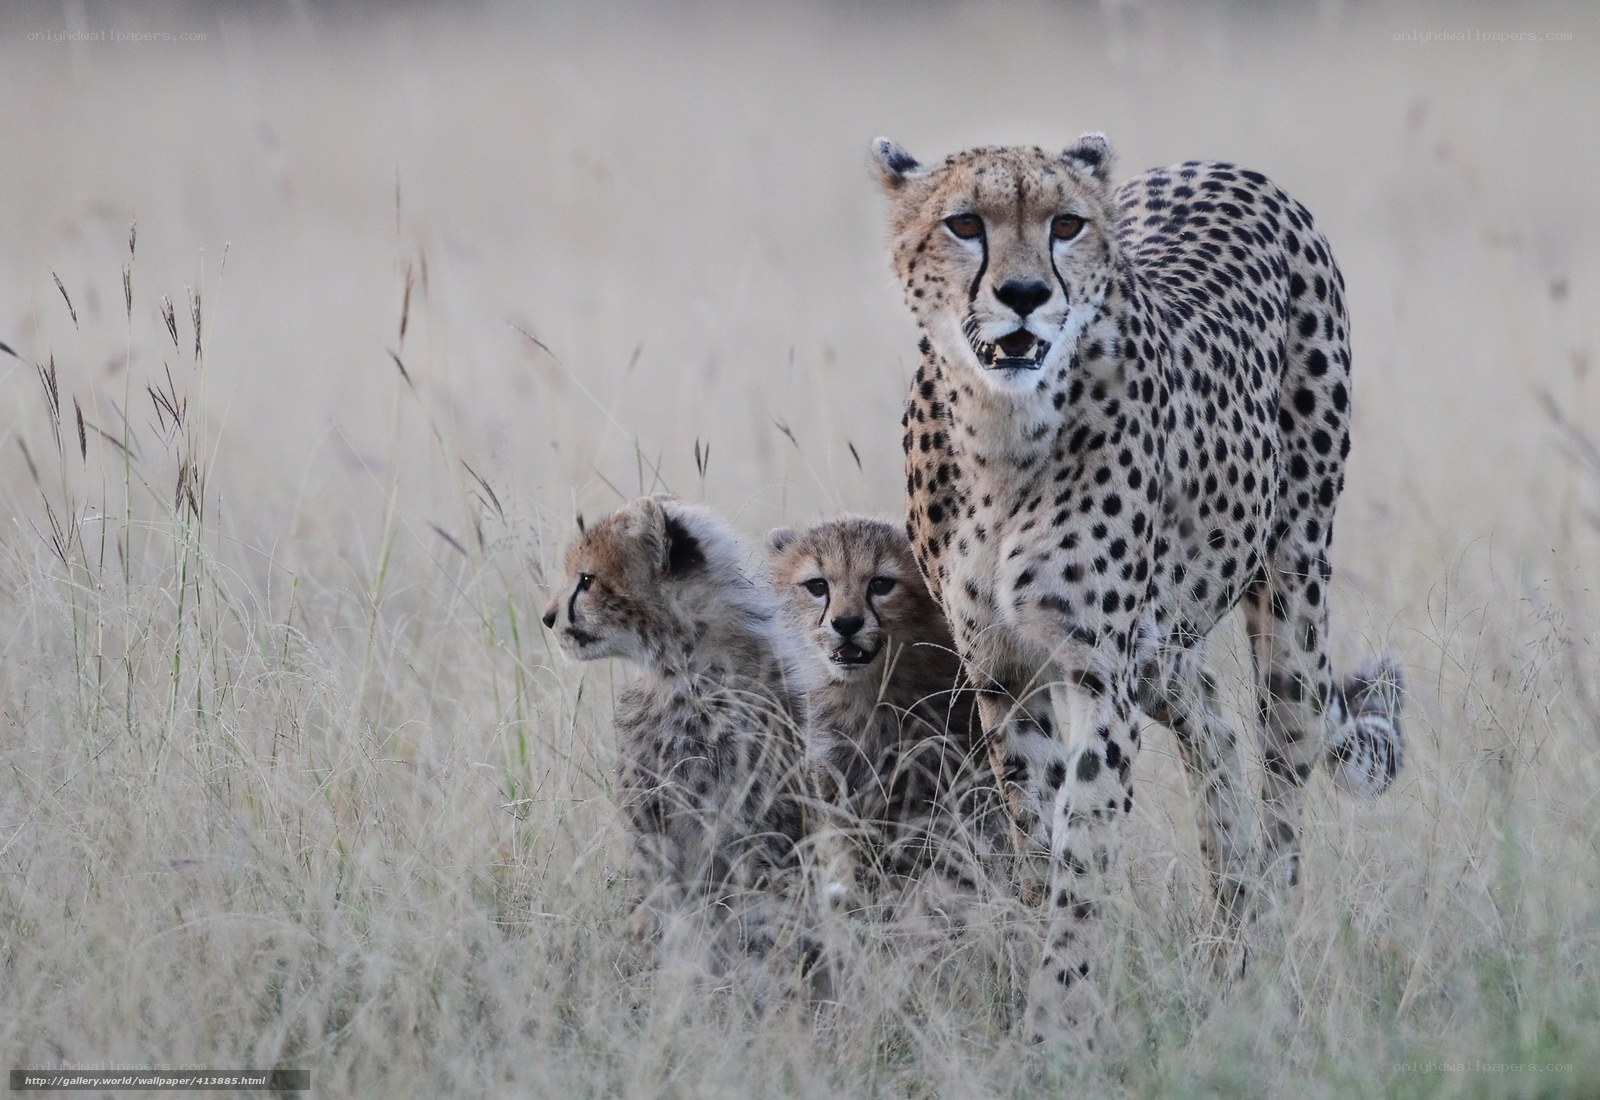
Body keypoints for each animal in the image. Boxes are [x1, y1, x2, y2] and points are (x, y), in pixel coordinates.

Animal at [871, 132, 1406, 1039]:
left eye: (1067, 224)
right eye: (965, 223)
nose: (1024, 296)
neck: (1001, 432)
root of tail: (1227, 166)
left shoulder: (1097, 672)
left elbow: (1083, 852)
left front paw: (1057, 1023)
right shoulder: (1004, 674)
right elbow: (1038, 841)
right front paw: (1043, 986)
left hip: (1291, 595)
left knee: (1284, 772)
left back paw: (1260, 962)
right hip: (1161, 645)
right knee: (1213, 726)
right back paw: (1227, 915)